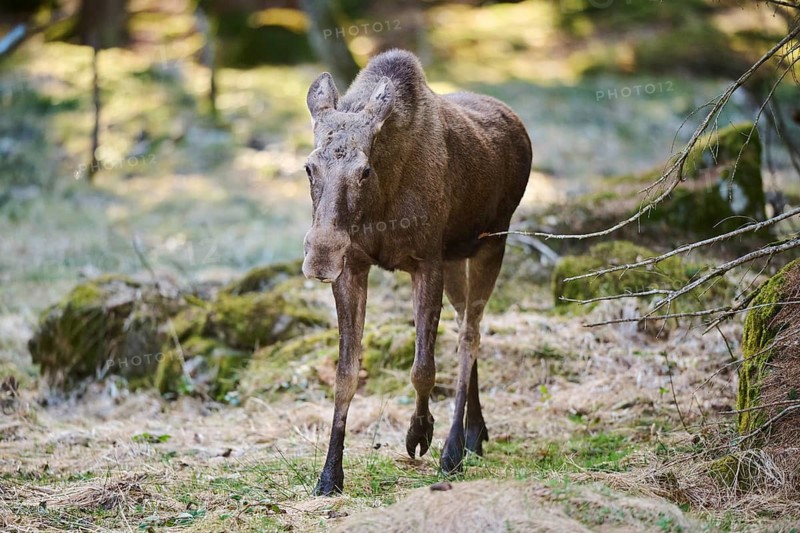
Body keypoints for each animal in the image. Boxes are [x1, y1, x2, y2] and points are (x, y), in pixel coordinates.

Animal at [301, 49, 532, 495]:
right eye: (308, 167)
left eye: (364, 171)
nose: (321, 256)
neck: (381, 201)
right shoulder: (353, 266)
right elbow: (345, 373)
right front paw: (329, 474)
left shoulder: (426, 260)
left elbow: (423, 368)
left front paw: (420, 432)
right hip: (457, 257)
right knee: (464, 325)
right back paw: (475, 431)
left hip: (491, 243)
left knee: (470, 335)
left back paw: (454, 448)